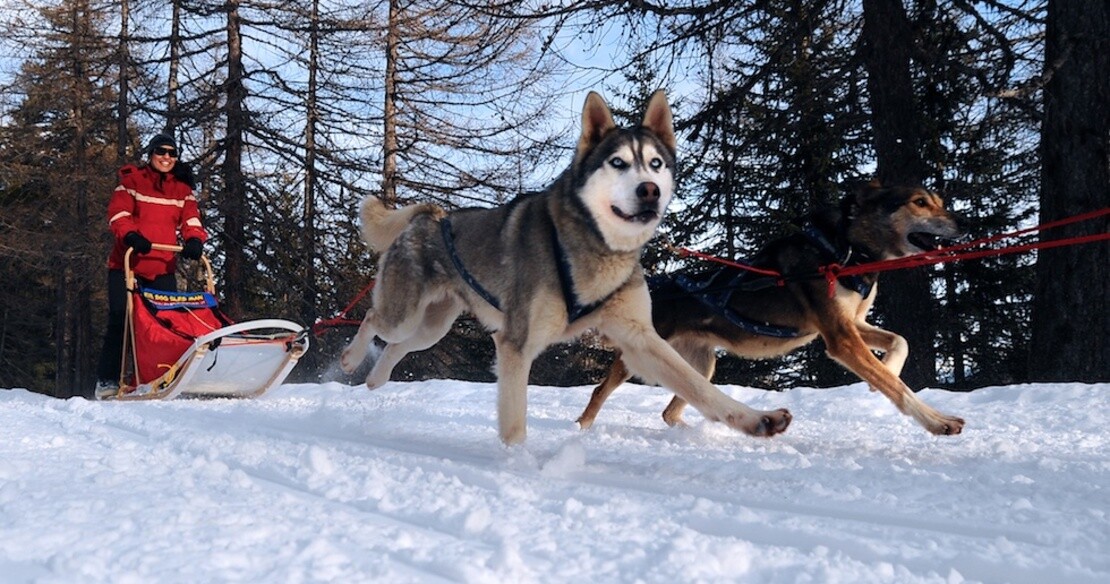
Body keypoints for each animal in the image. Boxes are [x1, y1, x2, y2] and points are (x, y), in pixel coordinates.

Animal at [341, 91, 794, 446]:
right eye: (617, 163)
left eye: (656, 164)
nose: (648, 190)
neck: (594, 249)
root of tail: (432, 216)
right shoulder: (516, 344)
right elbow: (514, 423)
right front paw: (522, 467)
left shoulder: (640, 340)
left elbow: (700, 388)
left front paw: (757, 420)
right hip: (404, 312)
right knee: (372, 318)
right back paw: (349, 360)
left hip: (434, 325)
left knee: (399, 345)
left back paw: (376, 378)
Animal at [577, 183, 967, 435]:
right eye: (919, 202)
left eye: (939, 200)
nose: (963, 223)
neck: (843, 251)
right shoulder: (841, 338)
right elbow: (896, 387)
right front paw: (938, 421)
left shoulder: (851, 324)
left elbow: (900, 342)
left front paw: (890, 365)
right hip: (637, 356)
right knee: (600, 392)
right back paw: (582, 429)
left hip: (700, 365)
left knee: (675, 409)